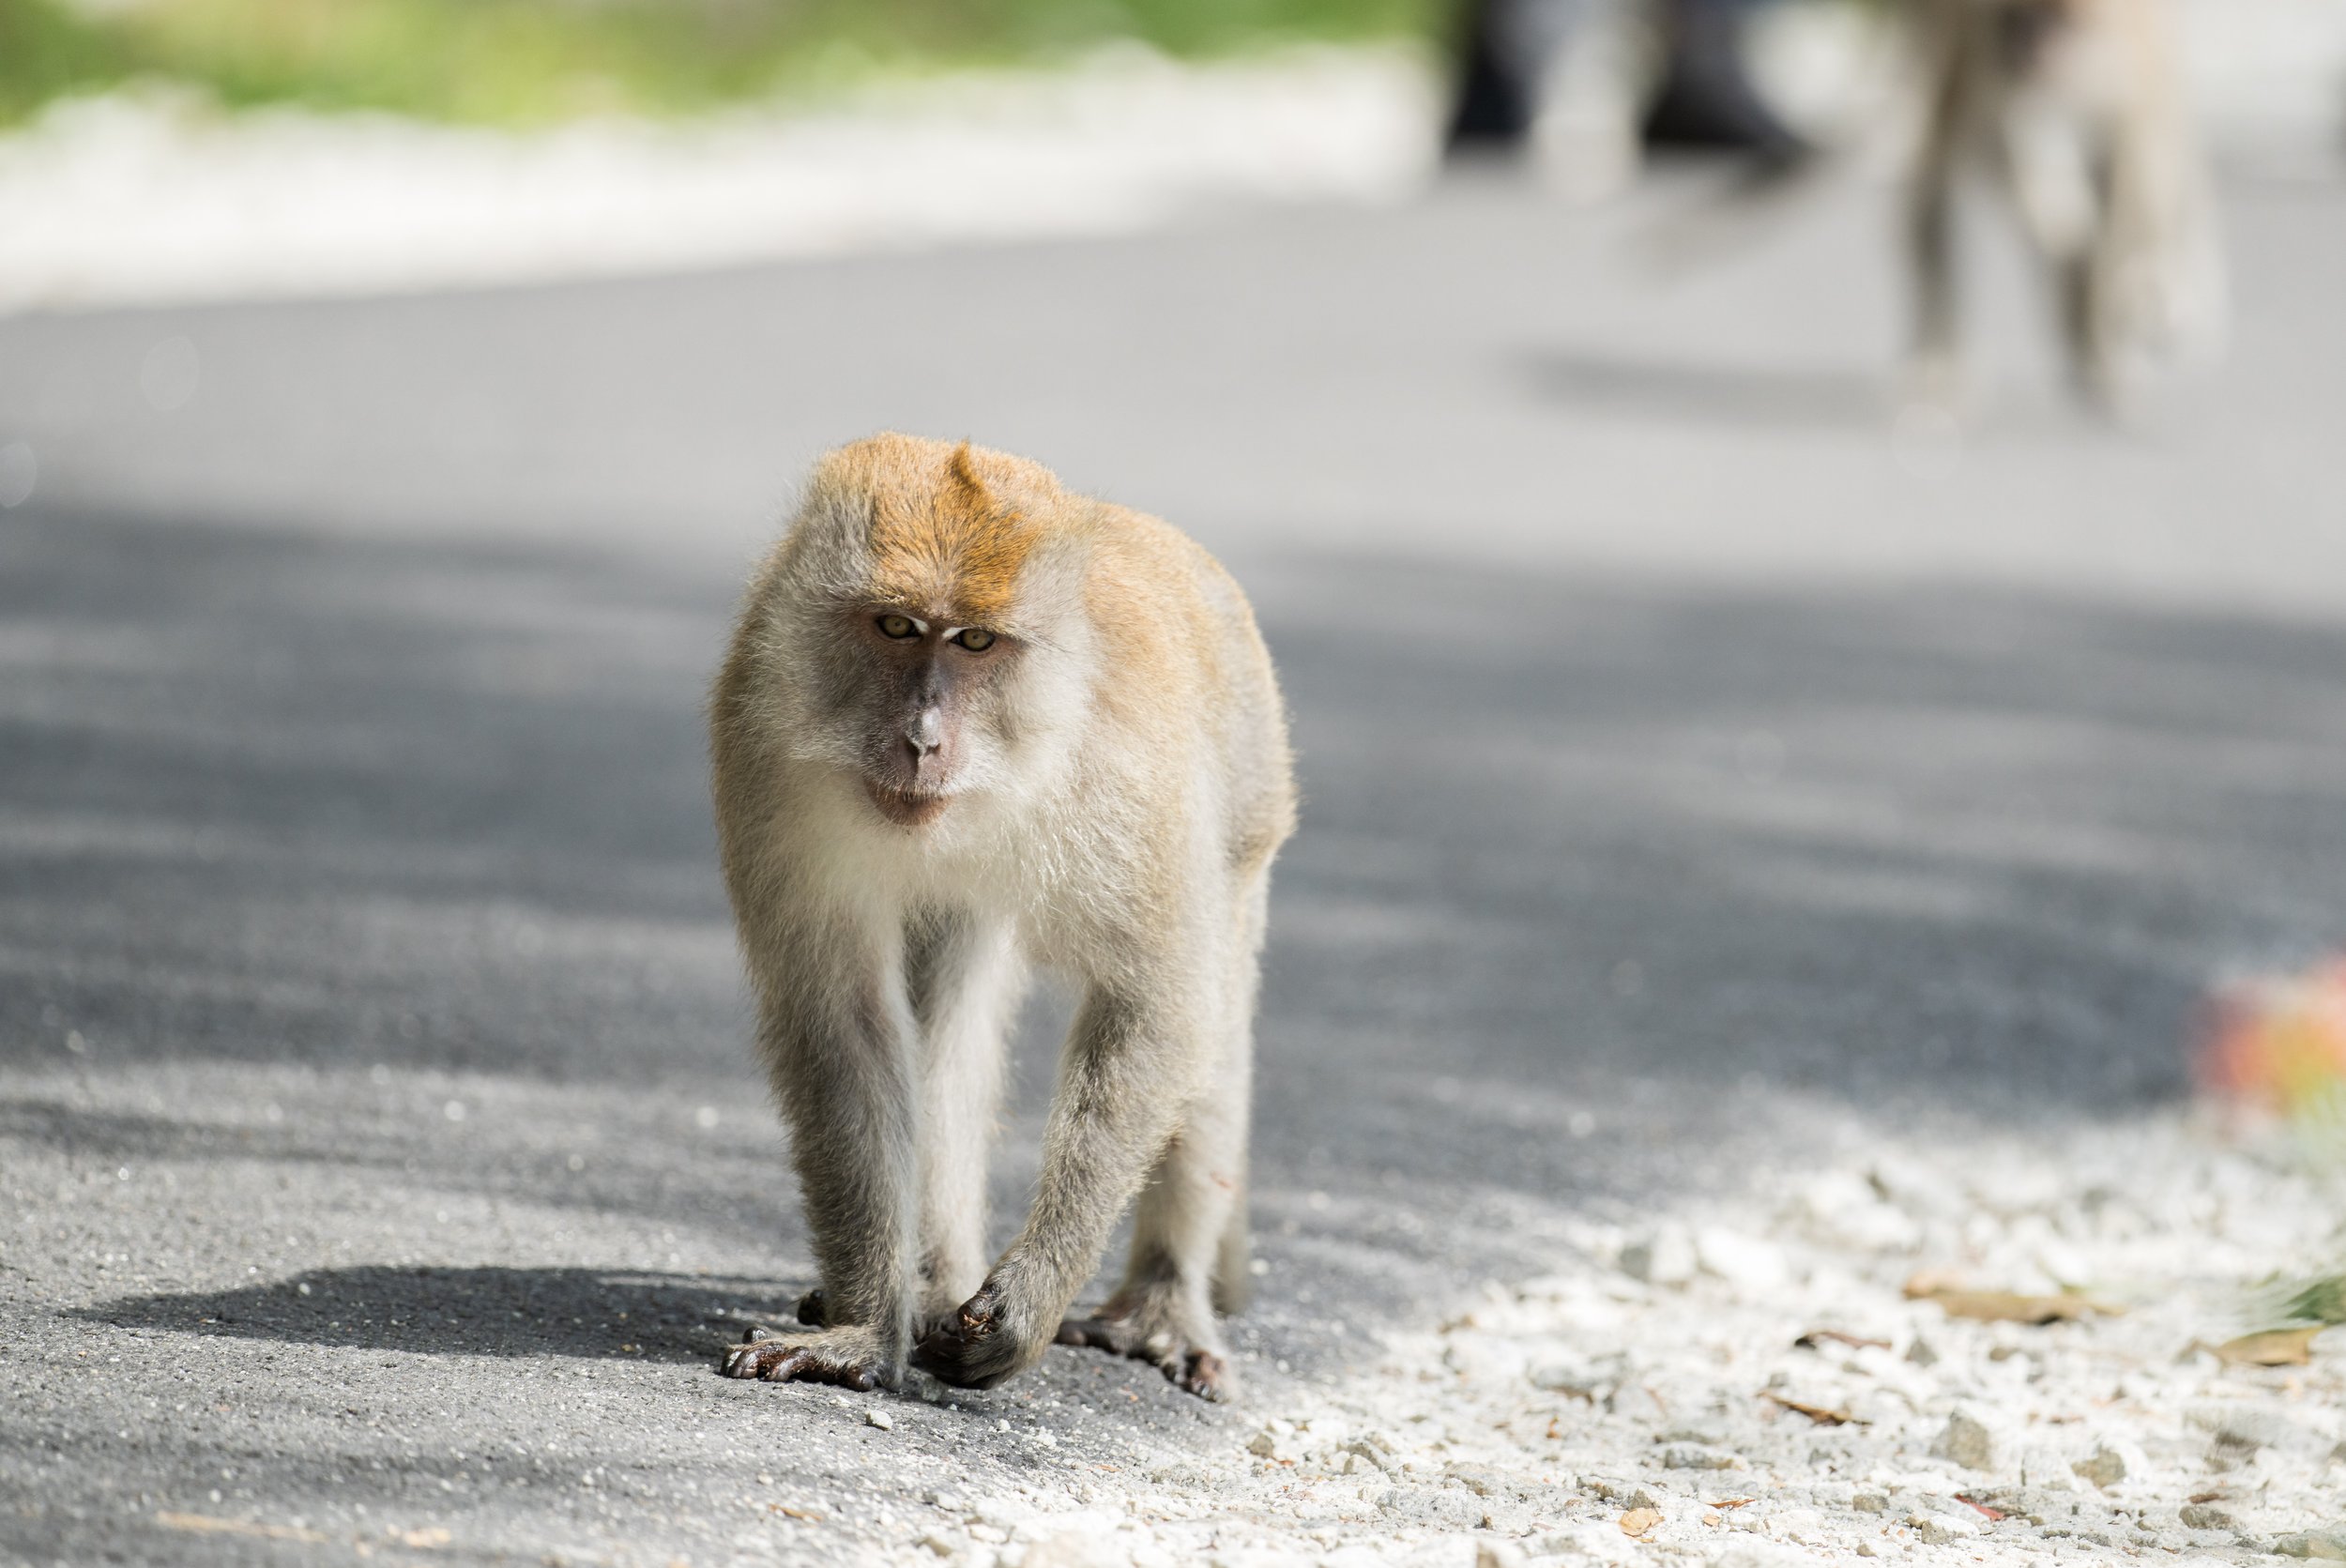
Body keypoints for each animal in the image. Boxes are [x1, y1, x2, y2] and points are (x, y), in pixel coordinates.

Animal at [707, 434, 1294, 1401]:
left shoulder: (1127, 783)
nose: (922, 739)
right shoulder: (765, 753)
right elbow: (844, 1021)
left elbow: (1160, 1004)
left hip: (1252, 803)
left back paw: (1162, 1304)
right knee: (948, 1012)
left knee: (1213, 1017)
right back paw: (934, 1281)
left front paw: (1032, 1298)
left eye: (976, 640)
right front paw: (865, 1329)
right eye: (896, 627)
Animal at [1904, 0, 2225, 409]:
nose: (2030, 57)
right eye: (2021, 27)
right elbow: (2007, 137)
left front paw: (2148, 286)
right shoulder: (1989, 55)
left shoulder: (2127, 69)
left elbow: (2141, 153)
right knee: (1938, 193)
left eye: (2058, 30)